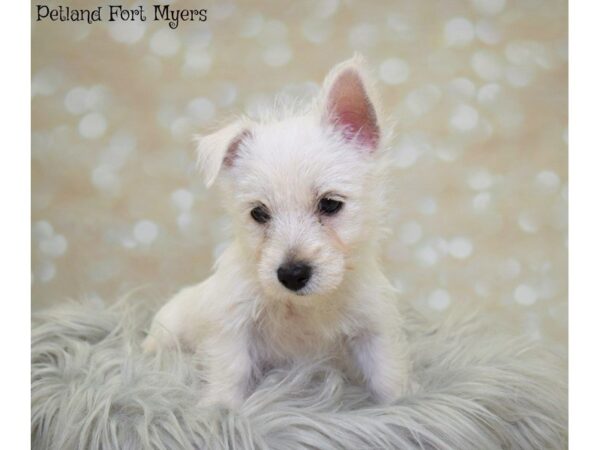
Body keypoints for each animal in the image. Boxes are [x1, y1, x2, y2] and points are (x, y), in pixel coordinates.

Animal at [144, 55, 412, 408]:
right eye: (258, 213)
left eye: (330, 204)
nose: (292, 275)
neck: (304, 307)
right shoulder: (233, 328)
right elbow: (231, 373)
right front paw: (220, 410)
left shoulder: (372, 330)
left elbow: (387, 376)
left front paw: (401, 404)